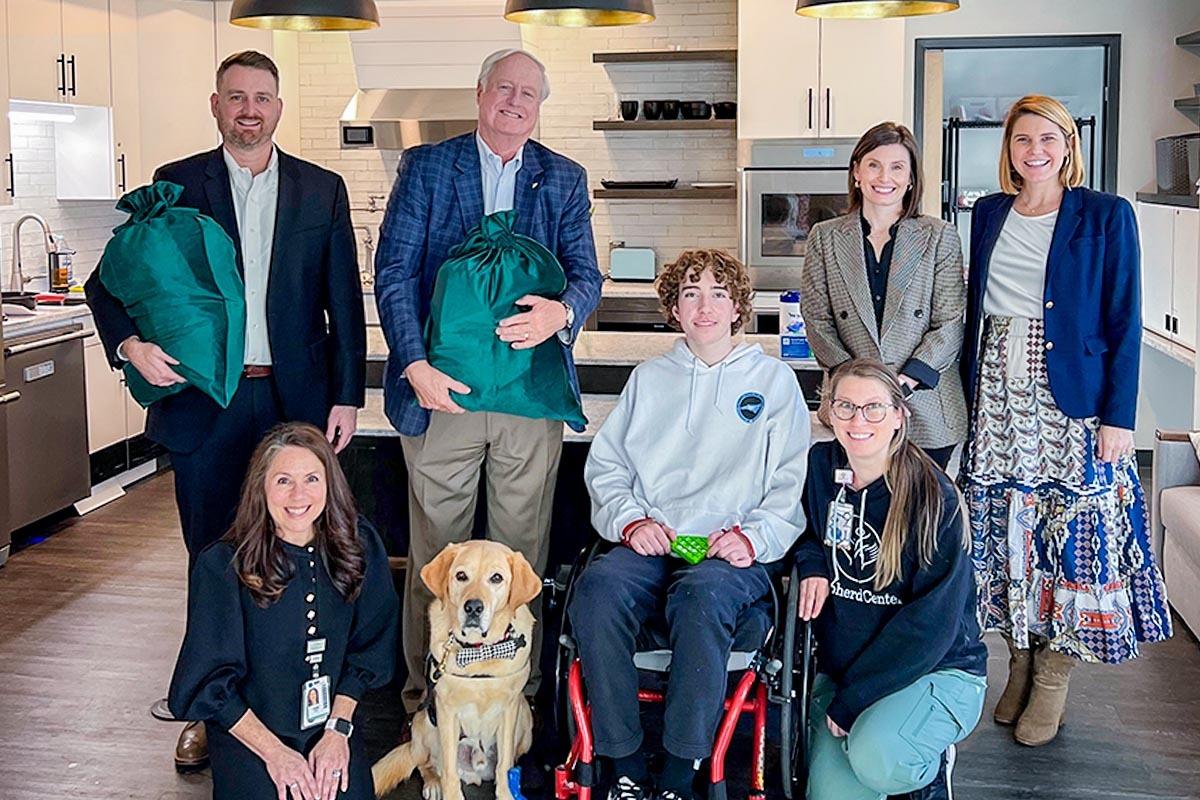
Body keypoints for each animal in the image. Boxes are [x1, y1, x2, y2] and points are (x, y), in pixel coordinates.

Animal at [374, 537, 544, 800]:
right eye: (461, 576)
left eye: (496, 578)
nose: (473, 607)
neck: (479, 651)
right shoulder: (447, 711)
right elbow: (449, 771)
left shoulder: (510, 707)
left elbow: (505, 765)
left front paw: (506, 794)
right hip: (424, 723)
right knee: (427, 764)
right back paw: (433, 784)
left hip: (525, 720)